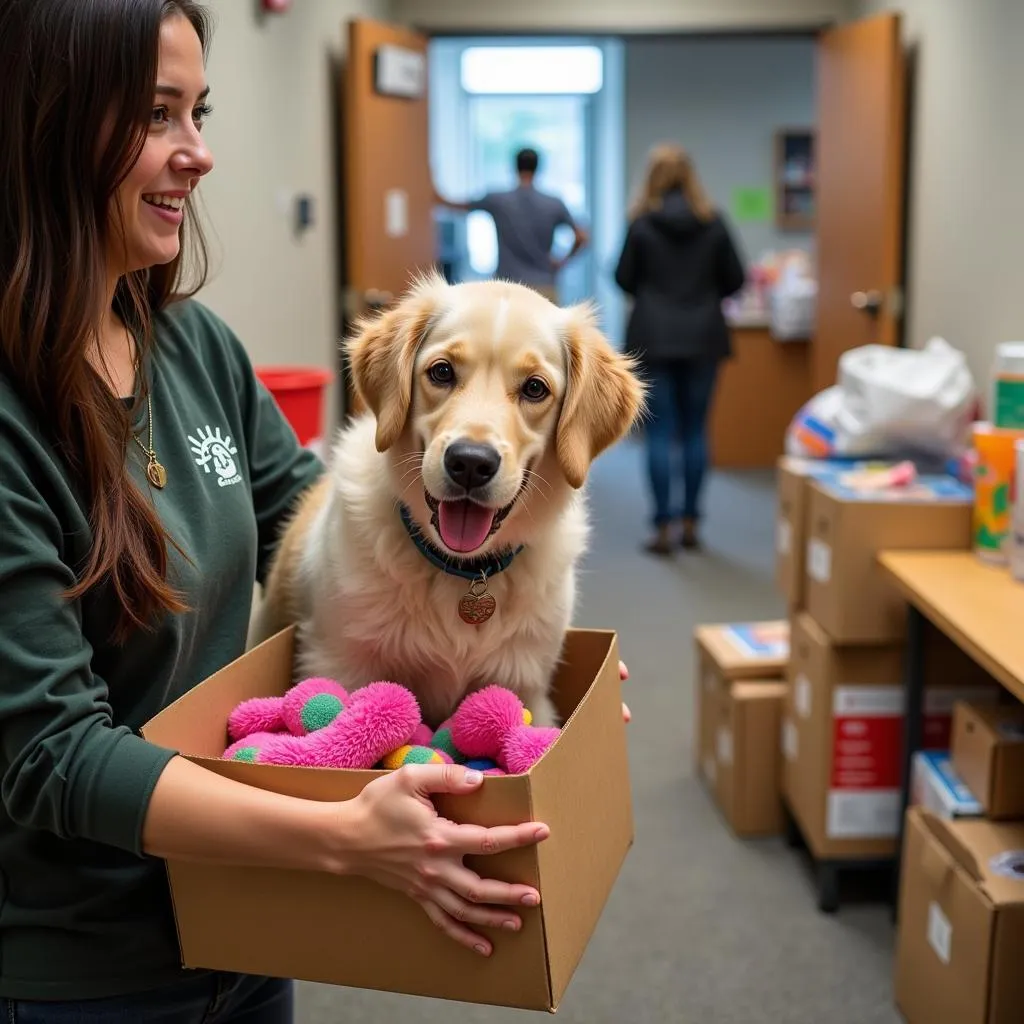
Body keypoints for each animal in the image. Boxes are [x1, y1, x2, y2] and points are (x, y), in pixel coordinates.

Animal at [254, 274, 638, 729]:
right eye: (441, 372)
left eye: (534, 388)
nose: (470, 463)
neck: (464, 572)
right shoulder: (337, 661)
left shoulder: (529, 686)